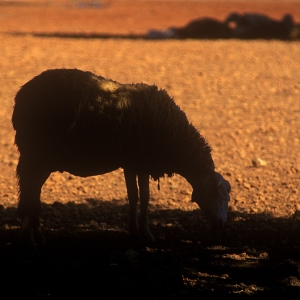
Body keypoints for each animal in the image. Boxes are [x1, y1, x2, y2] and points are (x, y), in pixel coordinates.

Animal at [11, 69, 231, 245]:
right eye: (218, 196)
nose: (222, 225)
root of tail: (21, 96)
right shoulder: (139, 162)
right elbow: (142, 196)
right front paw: (144, 234)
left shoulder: (134, 163)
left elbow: (136, 196)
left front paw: (136, 232)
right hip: (37, 155)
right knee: (30, 192)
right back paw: (29, 237)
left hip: (39, 158)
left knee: (33, 192)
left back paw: (37, 234)